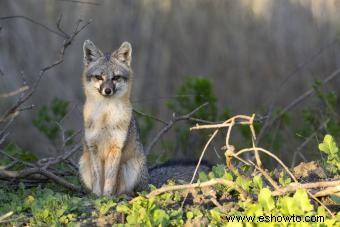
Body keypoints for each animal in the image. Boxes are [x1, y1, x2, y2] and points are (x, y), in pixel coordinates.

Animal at [79, 40, 149, 196]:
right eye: (99, 77)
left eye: (116, 78)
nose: (107, 90)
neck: (105, 118)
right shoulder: (94, 148)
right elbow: (98, 178)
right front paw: (97, 196)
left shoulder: (116, 148)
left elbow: (111, 179)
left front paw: (107, 196)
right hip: (83, 164)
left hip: (130, 167)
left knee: (129, 191)